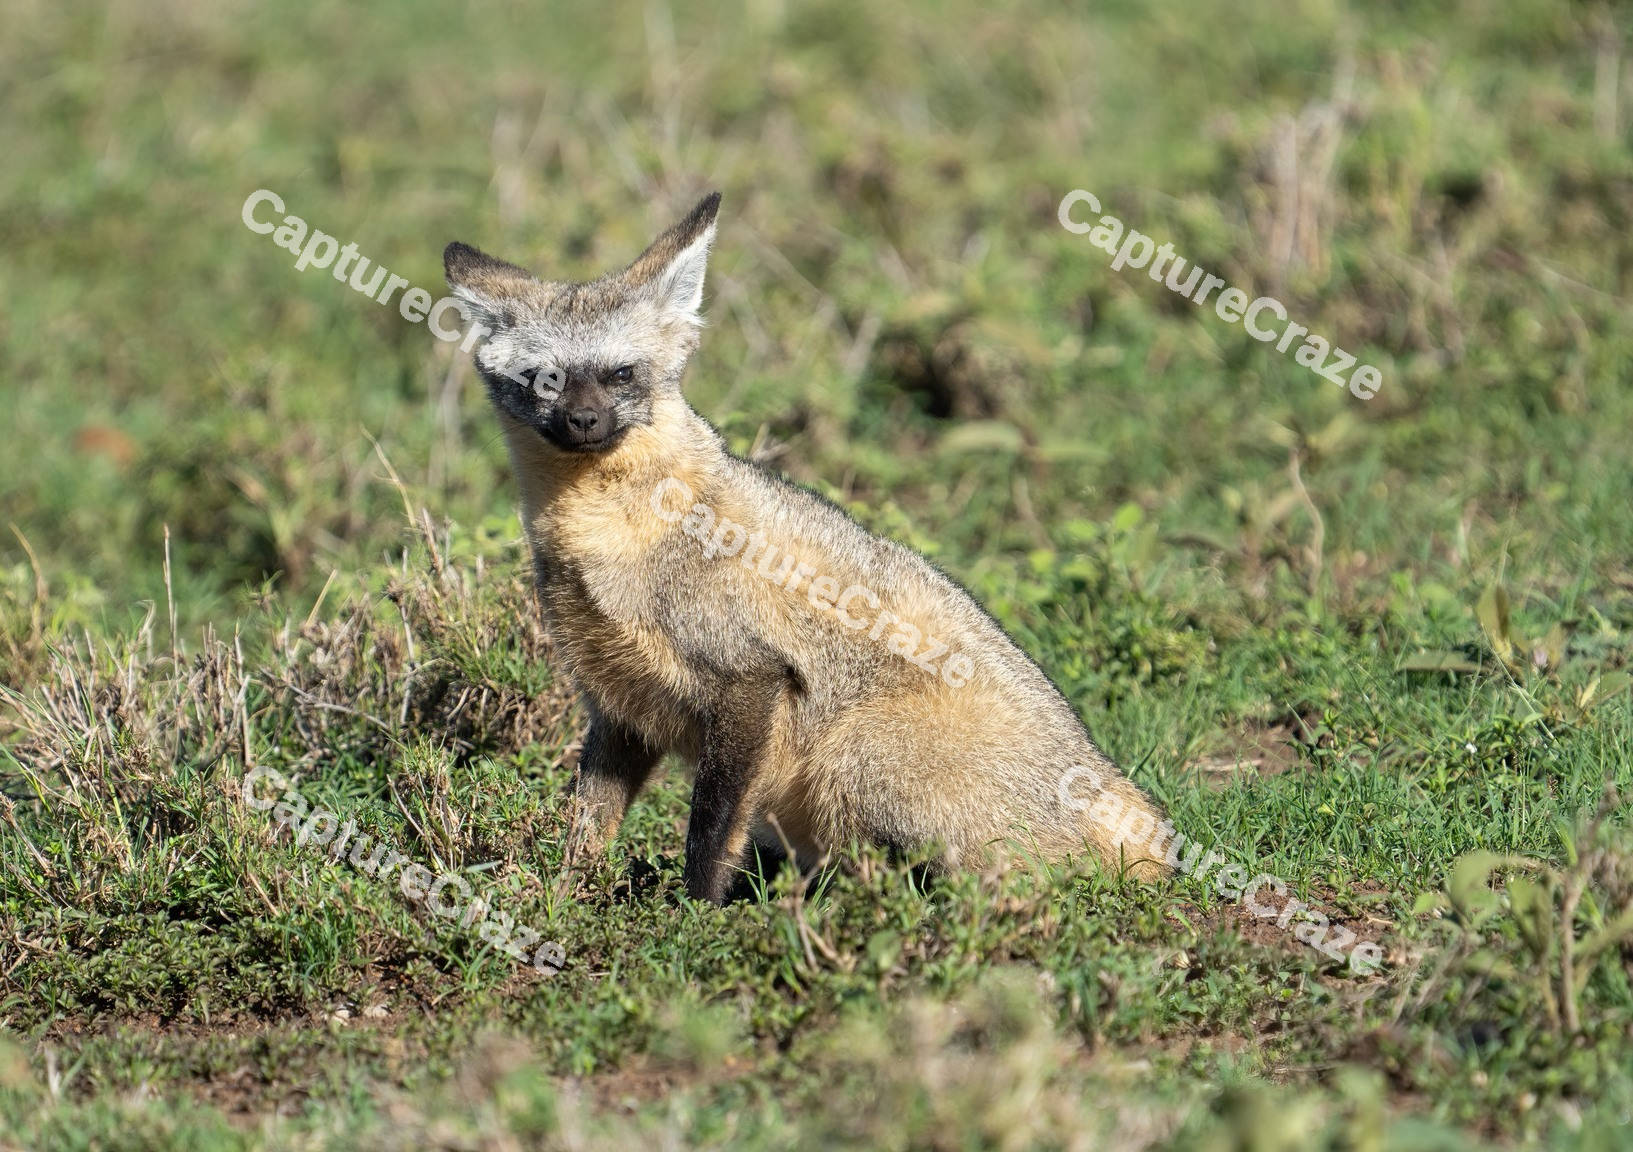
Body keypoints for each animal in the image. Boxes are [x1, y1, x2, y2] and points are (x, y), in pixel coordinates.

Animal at [443, 191, 1169, 903]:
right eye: (544, 379)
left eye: (621, 373)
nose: (584, 421)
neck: (615, 536)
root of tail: (1127, 800)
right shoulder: (619, 708)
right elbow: (587, 826)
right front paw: (566, 898)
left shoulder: (751, 678)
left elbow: (710, 827)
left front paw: (692, 913)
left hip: (855, 752)